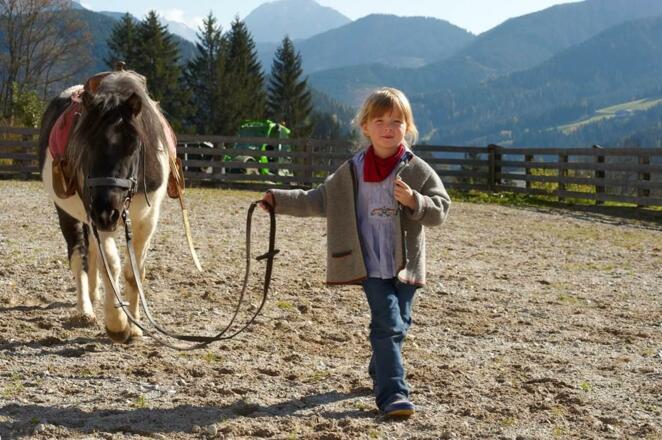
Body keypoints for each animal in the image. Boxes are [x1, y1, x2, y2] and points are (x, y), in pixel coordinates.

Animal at [38, 70, 173, 343]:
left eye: (133, 146)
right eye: (85, 145)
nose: (106, 212)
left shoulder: (147, 219)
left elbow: (134, 272)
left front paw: (135, 327)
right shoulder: (96, 217)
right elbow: (110, 264)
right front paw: (117, 324)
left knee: (90, 252)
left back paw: (94, 295)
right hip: (69, 213)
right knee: (79, 255)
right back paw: (85, 310)